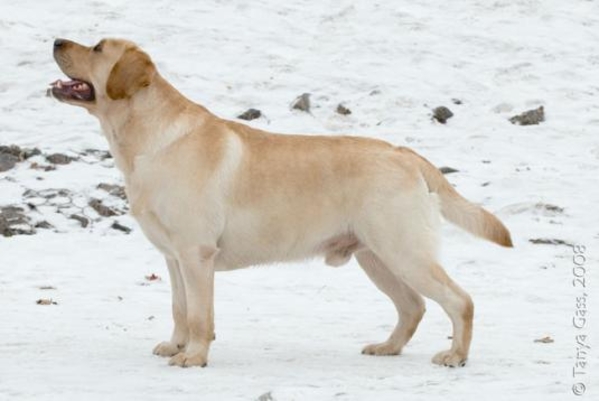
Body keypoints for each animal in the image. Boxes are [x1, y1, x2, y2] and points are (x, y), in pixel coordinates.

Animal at [49, 39, 512, 368]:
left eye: (97, 48)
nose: (55, 40)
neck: (146, 138)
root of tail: (407, 154)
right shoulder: (173, 256)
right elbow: (180, 309)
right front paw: (176, 346)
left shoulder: (196, 254)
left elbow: (200, 315)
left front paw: (194, 356)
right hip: (377, 257)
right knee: (413, 307)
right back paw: (387, 347)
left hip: (404, 250)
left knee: (459, 301)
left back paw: (455, 356)